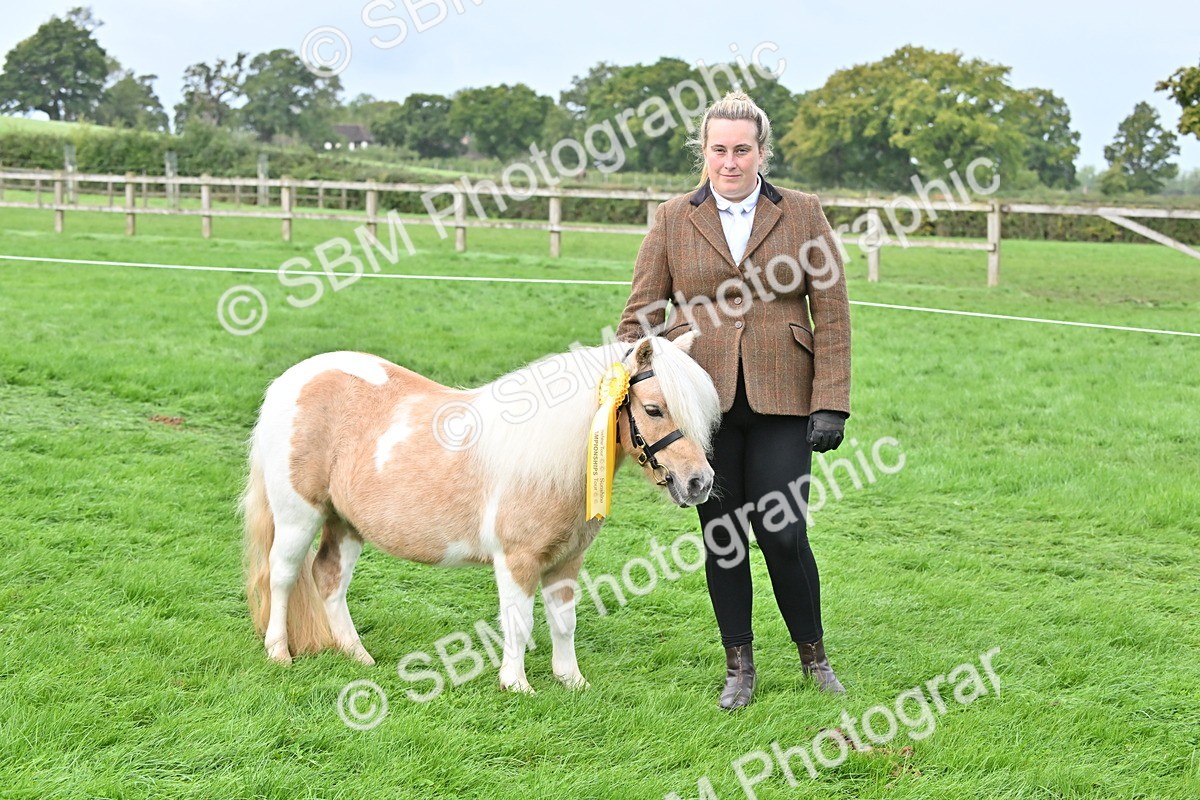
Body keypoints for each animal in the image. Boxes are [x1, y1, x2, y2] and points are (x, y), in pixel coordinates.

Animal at [243, 333, 720, 692]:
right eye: (654, 409)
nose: (699, 482)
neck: (549, 458)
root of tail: (293, 380)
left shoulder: (567, 560)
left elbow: (564, 620)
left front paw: (572, 681)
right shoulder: (517, 559)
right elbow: (520, 621)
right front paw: (517, 684)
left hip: (345, 524)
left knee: (329, 579)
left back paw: (358, 655)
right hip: (298, 515)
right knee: (282, 575)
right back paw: (279, 652)